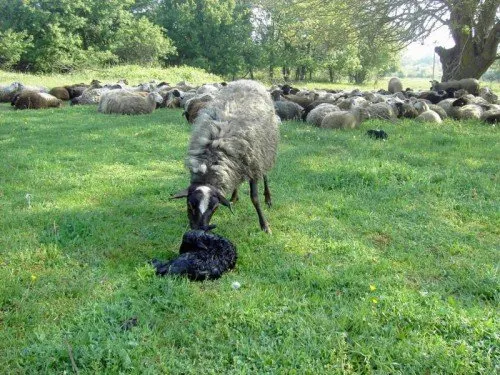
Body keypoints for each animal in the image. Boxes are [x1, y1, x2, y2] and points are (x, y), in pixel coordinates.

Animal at [174, 80, 280, 234]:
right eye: (189, 205)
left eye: (215, 208)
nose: (199, 230)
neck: (212, 156)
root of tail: (248, 81)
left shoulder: (252, 164)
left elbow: (254, 198)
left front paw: (265, 226)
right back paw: (234, 197)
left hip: (264, 150)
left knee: (265, 174)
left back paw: (268, 198)